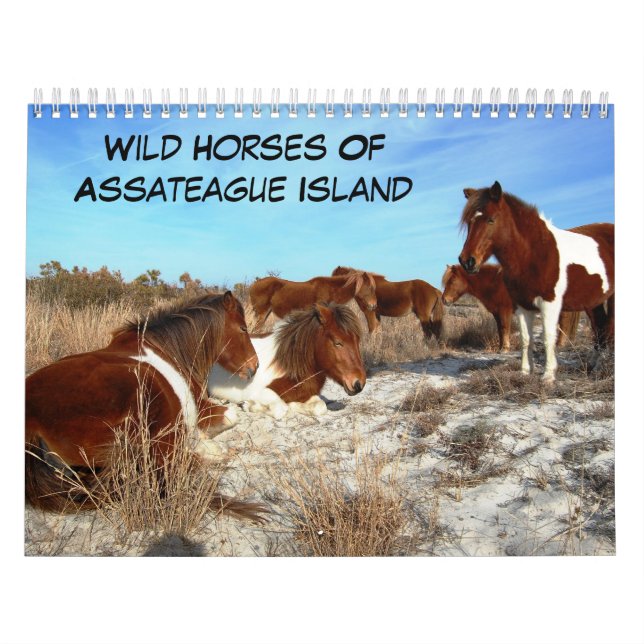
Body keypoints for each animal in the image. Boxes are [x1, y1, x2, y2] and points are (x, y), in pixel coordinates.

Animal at [26, 291, 261, 515]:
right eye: (243, 328)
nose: (255, 366)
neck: (166, 348)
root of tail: (32, 421)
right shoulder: (201, 408)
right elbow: (231, 415)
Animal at [209, 303, 366, 419]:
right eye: (338, 342)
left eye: (357, 340)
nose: (358, 384)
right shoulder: (260, 393)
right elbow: (281, 409)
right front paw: (250, 406)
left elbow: (320, 406)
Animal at [441, 264, 581, 352]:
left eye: (452, 281)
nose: (444, 300)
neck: (495, 283)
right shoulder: (497, 313)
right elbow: (500, 329)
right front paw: (501, 347)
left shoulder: (505, 311)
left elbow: (504, 328)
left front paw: (505, 348)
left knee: (564, 323)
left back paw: (560, 344)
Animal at [457, 181, 614, 381]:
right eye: (469, 222)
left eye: (491, 220)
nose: (467, 261)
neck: (534, 253)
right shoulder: (523, 306)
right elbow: (526, 339)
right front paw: (525, 371)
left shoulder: (549, 303)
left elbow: (548, 337)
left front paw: (548, 375)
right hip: (593, 301)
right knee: (600, 328)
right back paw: (593, 365)